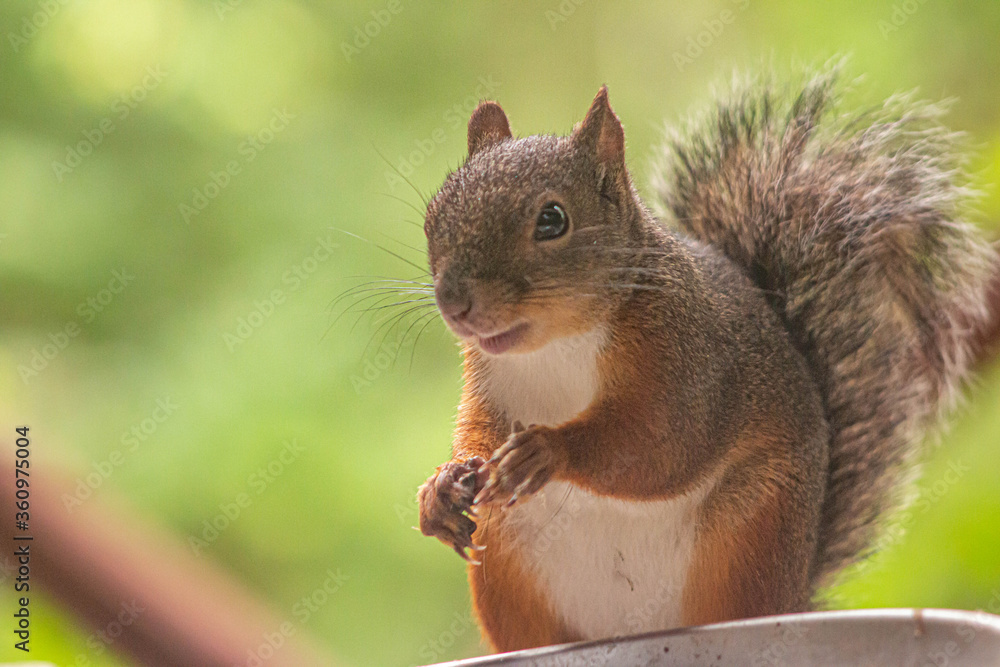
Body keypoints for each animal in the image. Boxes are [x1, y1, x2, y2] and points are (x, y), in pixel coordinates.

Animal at [415, 67, 995, 652]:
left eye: (552, 220)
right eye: (434, 214)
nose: (455, 302)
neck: (554, 346)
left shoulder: (690, 360)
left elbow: (663, 444)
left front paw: (547, 449)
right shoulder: (488, 382)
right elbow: (478, 429)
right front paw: (441, 488)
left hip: (749, 532)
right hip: (506, 561)